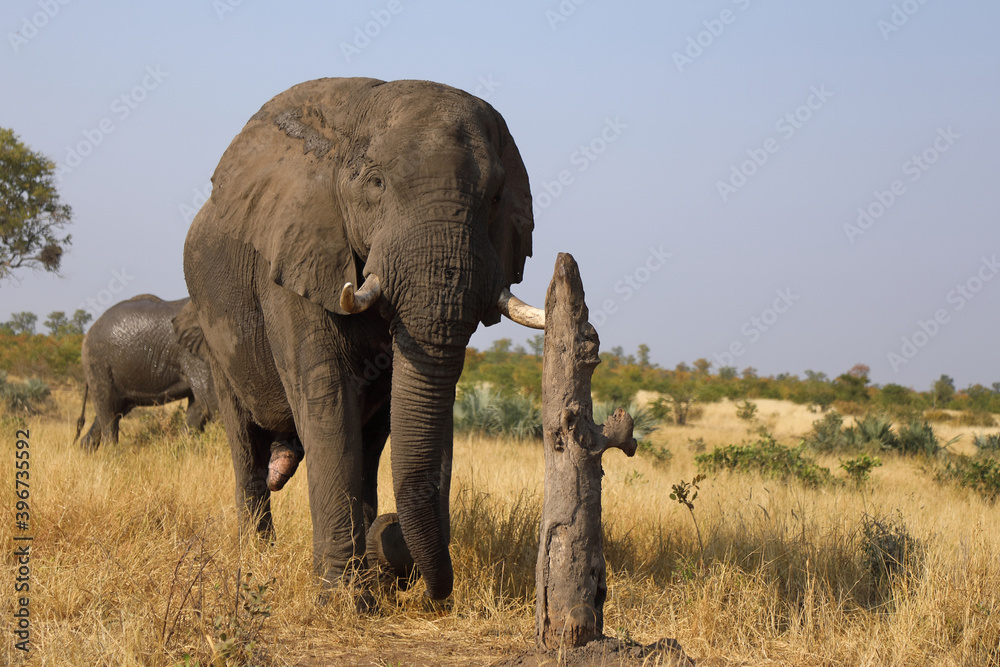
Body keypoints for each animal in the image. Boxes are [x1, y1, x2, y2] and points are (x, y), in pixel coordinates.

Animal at [74, 294, 219, 450]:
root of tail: (88, 333)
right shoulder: (193, 354)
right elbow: (211, 401)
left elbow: (199, 406)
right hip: (97, 363)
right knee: (108, 411)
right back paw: (111, 453)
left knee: (115, 409)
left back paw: (87, 449)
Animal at [181, 77, 544, 601]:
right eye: (376, 184)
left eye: (495, 197)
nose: (389, 534)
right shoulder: (296, 252)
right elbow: (329, 402)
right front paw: (346, 599)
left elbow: (413, 411)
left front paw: (376, 567)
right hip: (212, 330)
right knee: (244, 442)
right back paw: (258, 558)